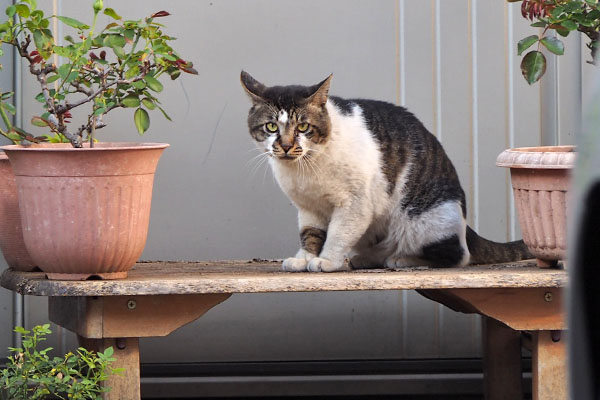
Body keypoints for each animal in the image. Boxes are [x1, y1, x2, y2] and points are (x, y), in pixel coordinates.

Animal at [239, 71, 528, 272]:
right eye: (271, 127)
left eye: (303, 127)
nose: (286, 146)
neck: (305, 168)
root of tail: (467, 226)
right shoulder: (308, 208)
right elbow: (310, 235)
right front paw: (306, 258)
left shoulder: (355, 204)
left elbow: (338, 233)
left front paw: (327, 260)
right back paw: (366, 258)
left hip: (425, 219)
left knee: (456, 254)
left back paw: (402, 259)